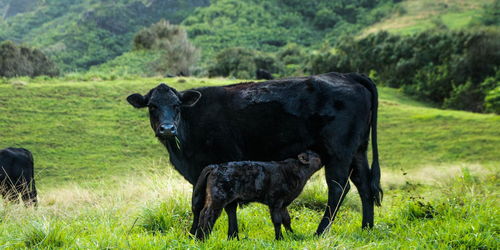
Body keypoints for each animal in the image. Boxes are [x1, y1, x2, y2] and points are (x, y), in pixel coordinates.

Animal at [189, 150, 322, 240]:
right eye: (316, 156)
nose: (322, 157)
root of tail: (215, 166)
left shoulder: (283, 203)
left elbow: (287, 219)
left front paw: (292, 235)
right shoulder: (275, 201)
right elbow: (277, 220)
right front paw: (280, 238)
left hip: (223, 200)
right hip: (218, 198)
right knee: (207, 214)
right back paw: (203, 239)